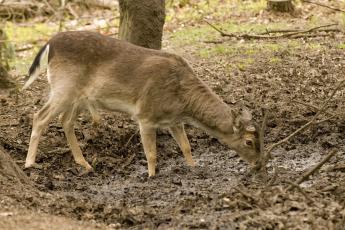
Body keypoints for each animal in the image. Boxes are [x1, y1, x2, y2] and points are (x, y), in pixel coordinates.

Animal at [22, 31, 260, 177]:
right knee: (40, 116)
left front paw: (194, 168)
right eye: (249, 141)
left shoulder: (174, 120)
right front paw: (151, 176)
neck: (183, 103)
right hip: (64, 86)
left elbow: (186, 146)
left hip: (78, 96)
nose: (259, 163)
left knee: (66, 121)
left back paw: (85, 164)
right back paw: (29, 163)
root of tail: (49, 45)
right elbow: (151, 153)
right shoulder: (145, 114)